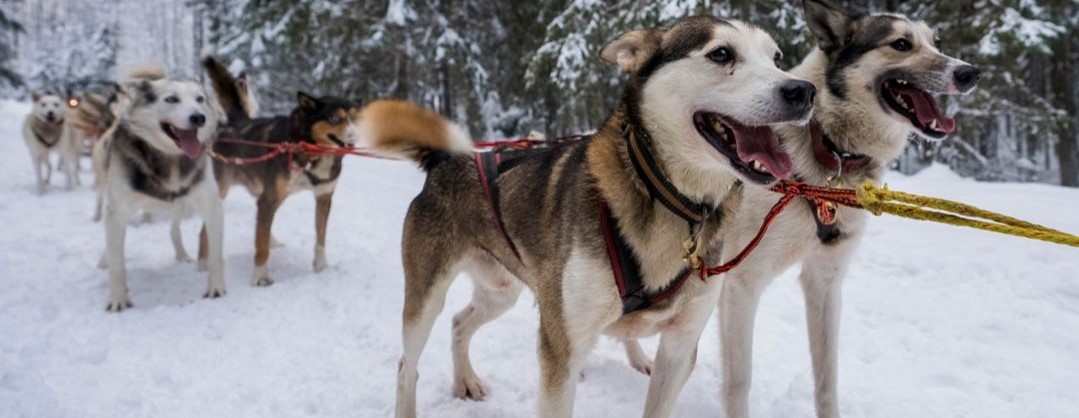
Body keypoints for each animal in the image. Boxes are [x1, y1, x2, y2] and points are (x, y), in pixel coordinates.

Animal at [99, 67, 229, 313]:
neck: (170, 160)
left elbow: (216, 256)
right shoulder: (117, 212)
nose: (199, 117)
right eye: (171, 99)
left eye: (199, 99)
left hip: (182, 206)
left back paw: (181, 254)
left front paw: (216, 289)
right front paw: (118, 298)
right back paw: (103, 261)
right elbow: (117, 262)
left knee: (173, 229)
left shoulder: (212, 207)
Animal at [358, 16, 811, 418]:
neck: (666, 195)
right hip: (426, 299)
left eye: (776, 57)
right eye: (721, 53)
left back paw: (465, 380)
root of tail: (446, 160)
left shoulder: (679, 348)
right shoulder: (561, 351)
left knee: (458, 323)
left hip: (501, 292)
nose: (802, 90)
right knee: (407, 365)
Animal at [621, 0, 984, 418]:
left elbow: (827, 377)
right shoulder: (741, 284)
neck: (824, 147)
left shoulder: (825, 280)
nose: (969, 72)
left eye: (936, 43)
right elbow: (739, 381)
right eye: (902, 44)